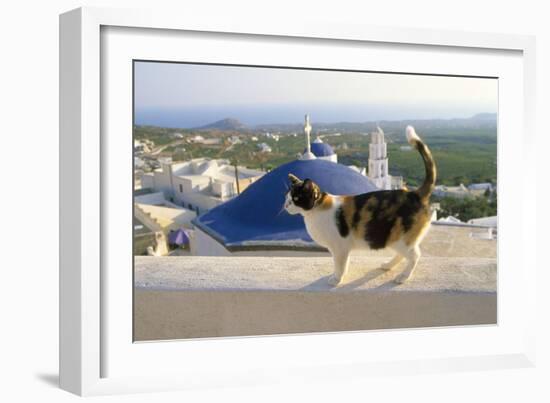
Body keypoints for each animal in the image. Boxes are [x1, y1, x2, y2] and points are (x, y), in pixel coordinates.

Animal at [286, 124, 438, 286]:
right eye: (287, 197)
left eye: (296, 198)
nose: (286, 205)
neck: (316, 210)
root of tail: (414, 194)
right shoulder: (340, 248)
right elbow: (342, 264)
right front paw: (339, 276)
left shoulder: (340, 247)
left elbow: (340, 265)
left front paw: (336, 279)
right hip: (397, 240)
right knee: (403, 255)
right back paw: (388, 265)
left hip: (402, 238)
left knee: (415, 255)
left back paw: (403, 276)